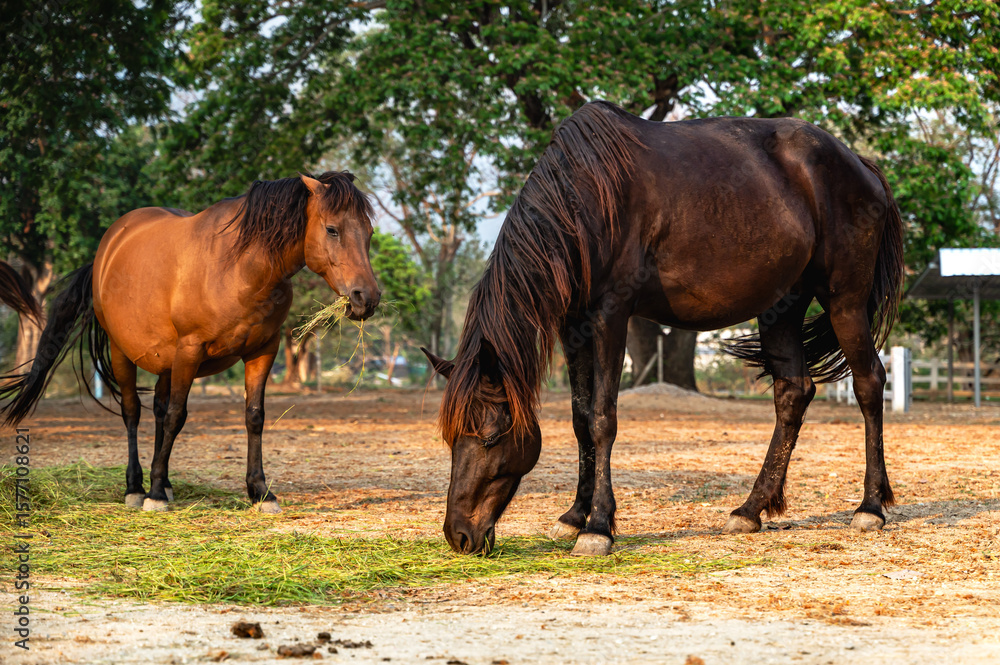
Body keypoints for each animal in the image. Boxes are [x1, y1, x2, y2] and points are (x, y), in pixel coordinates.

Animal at [1, 172, 380, 513]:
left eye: (369, 233)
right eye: (332, 229)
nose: (367, 298)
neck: (241, 268)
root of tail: (107, 249)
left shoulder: (262, 351)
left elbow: (253, 417)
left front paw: (260, 492)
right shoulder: (190, 350)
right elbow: (175, 416)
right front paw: (153, 495)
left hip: (166, 362)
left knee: (156, 410)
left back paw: (166, 482)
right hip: (123, 353)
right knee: (133, 412)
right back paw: (136, 487)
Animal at [422, 101, 904, 556]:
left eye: (490, 437)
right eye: (450, 436)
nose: (459, 534)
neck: (586, 197)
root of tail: (861, 164)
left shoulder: (611, 315)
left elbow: (603, 418)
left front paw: (598, 528)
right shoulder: (572, 324)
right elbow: (580, 419)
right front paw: (575, 516)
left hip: (844, 300)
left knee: (868, 383)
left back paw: (869, 508)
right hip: (782, 307)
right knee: (792, 393)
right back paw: (750, 510)